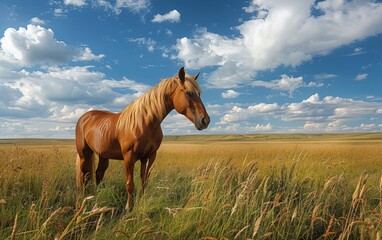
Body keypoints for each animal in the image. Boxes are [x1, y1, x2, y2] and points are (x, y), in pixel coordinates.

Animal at [75, 66, 210, 211]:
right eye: (188, 93)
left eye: (199, 94)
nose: (205, 120)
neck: (144, 123)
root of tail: (84, 117)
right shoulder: (129, 157)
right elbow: (130, 184)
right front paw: (128, 208)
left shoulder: (149, 156)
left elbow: (144, 181)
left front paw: (143, 202)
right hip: (84, 154)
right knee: (83, 176)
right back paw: (83, 198)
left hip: (103, 155)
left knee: (98, 174)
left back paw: (97, 195)